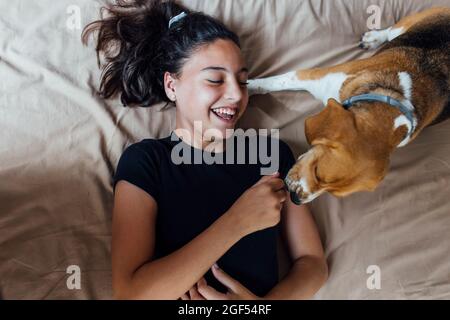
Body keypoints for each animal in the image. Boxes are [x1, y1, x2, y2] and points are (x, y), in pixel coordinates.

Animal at [250, 7, 450, 204]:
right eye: (317, 171)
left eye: (332, 192)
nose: (295, 199)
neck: (391, 99)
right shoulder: (313, 76)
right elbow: (273, 83)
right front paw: (249, 86)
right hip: (407, 25)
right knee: (390, 31)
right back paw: (374, 38)